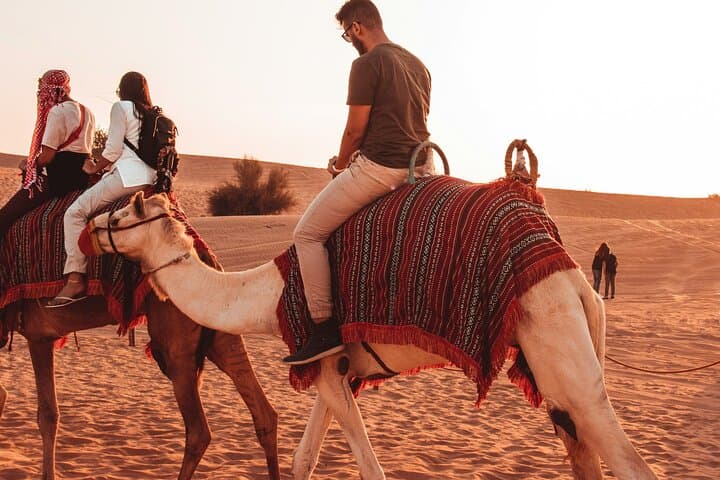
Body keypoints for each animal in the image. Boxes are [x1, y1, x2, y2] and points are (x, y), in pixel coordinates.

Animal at [0, 266, 280, 480]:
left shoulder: (38, 337)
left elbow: (46, 414)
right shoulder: (40, 337)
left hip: (176, 349)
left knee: (198, 431)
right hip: (220, 329)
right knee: (264, 414)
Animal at [84, 190, 659, 480]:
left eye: (123, 212)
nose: (89, 227)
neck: (270, 295)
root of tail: (574, 278)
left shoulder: (323, 360)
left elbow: (371, 470)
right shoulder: (333, 369)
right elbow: (304, 459)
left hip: (561, 351)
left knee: (628, 461)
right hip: (554, 366)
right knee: (583, 451)